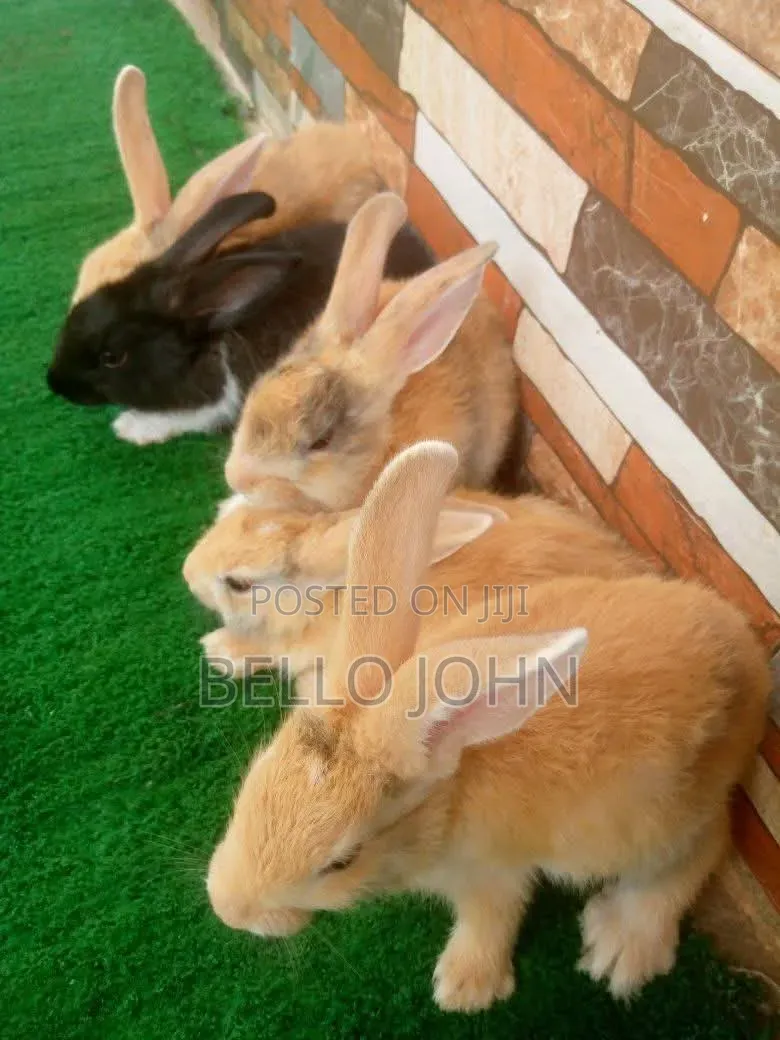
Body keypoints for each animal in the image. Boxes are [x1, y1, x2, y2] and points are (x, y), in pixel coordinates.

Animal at [50, 191, 434, 446]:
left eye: (112, 357)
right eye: (79, 310)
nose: (54, 384)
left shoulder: (217, 401)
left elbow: (183, 416)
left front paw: (129, 428)